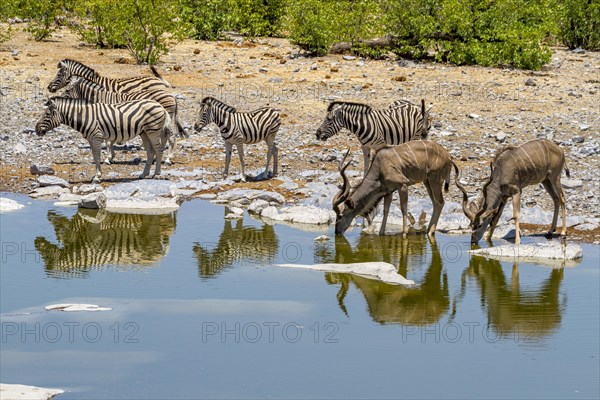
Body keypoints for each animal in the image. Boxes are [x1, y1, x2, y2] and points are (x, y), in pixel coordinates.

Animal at [35, 97, 170, 182]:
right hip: (144, 132)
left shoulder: (96, 137)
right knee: (150, 151)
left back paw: (157, 174)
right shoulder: (91, 139)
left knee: (159, 150)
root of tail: (161, 106)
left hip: (153, 130)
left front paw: (97, 176)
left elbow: (97, 156)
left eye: (47, 114)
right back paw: (143, 174)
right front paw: (97, 175)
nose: (36, 129)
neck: (84, 117)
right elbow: (95, 156)